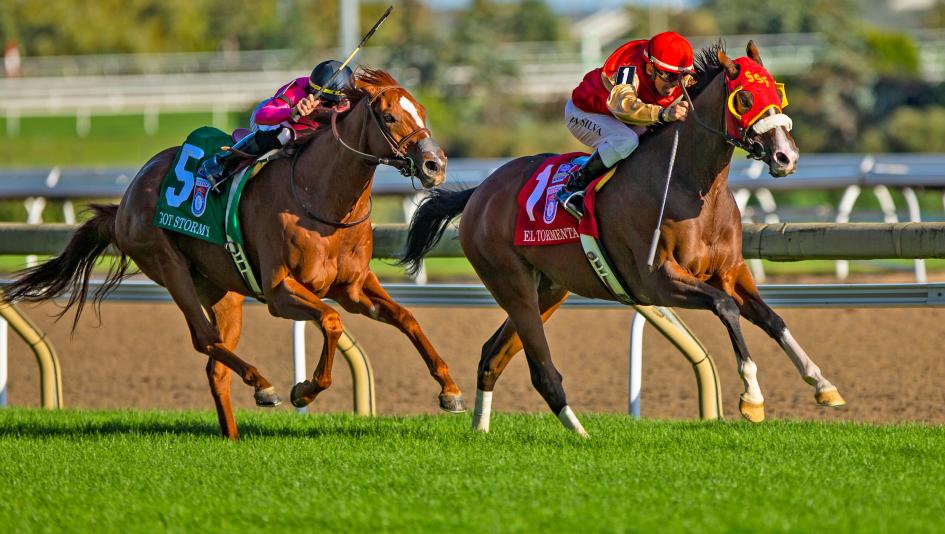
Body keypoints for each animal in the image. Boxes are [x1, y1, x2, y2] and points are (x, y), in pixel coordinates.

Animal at [4, 68, 466, 440]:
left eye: (421, 111)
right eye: (389, 116)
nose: (435, 165)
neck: (322, 200)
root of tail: (125, 201)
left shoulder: (354, 287)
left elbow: (407, 318)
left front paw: (450, 391)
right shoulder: (280, 292)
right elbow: (332, 322)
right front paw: (305, 389)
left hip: (223, 291)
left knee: (215, 366)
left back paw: (233, 432)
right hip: (168, 265)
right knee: (204, 339)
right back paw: (263, 384)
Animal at [400, 43, 845, 436]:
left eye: (778, 92)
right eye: (746, 97)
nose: (787, 157)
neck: (690, 185)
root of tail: (480, 192)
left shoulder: (732, 272)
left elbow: (773, 320)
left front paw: (823, 385)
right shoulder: (656, 280)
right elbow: (726, 308)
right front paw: (752, 397)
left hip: (548, 289)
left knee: (491, 356)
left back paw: (481, 427)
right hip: (513, 285)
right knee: (542, 371)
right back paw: (580, 432)